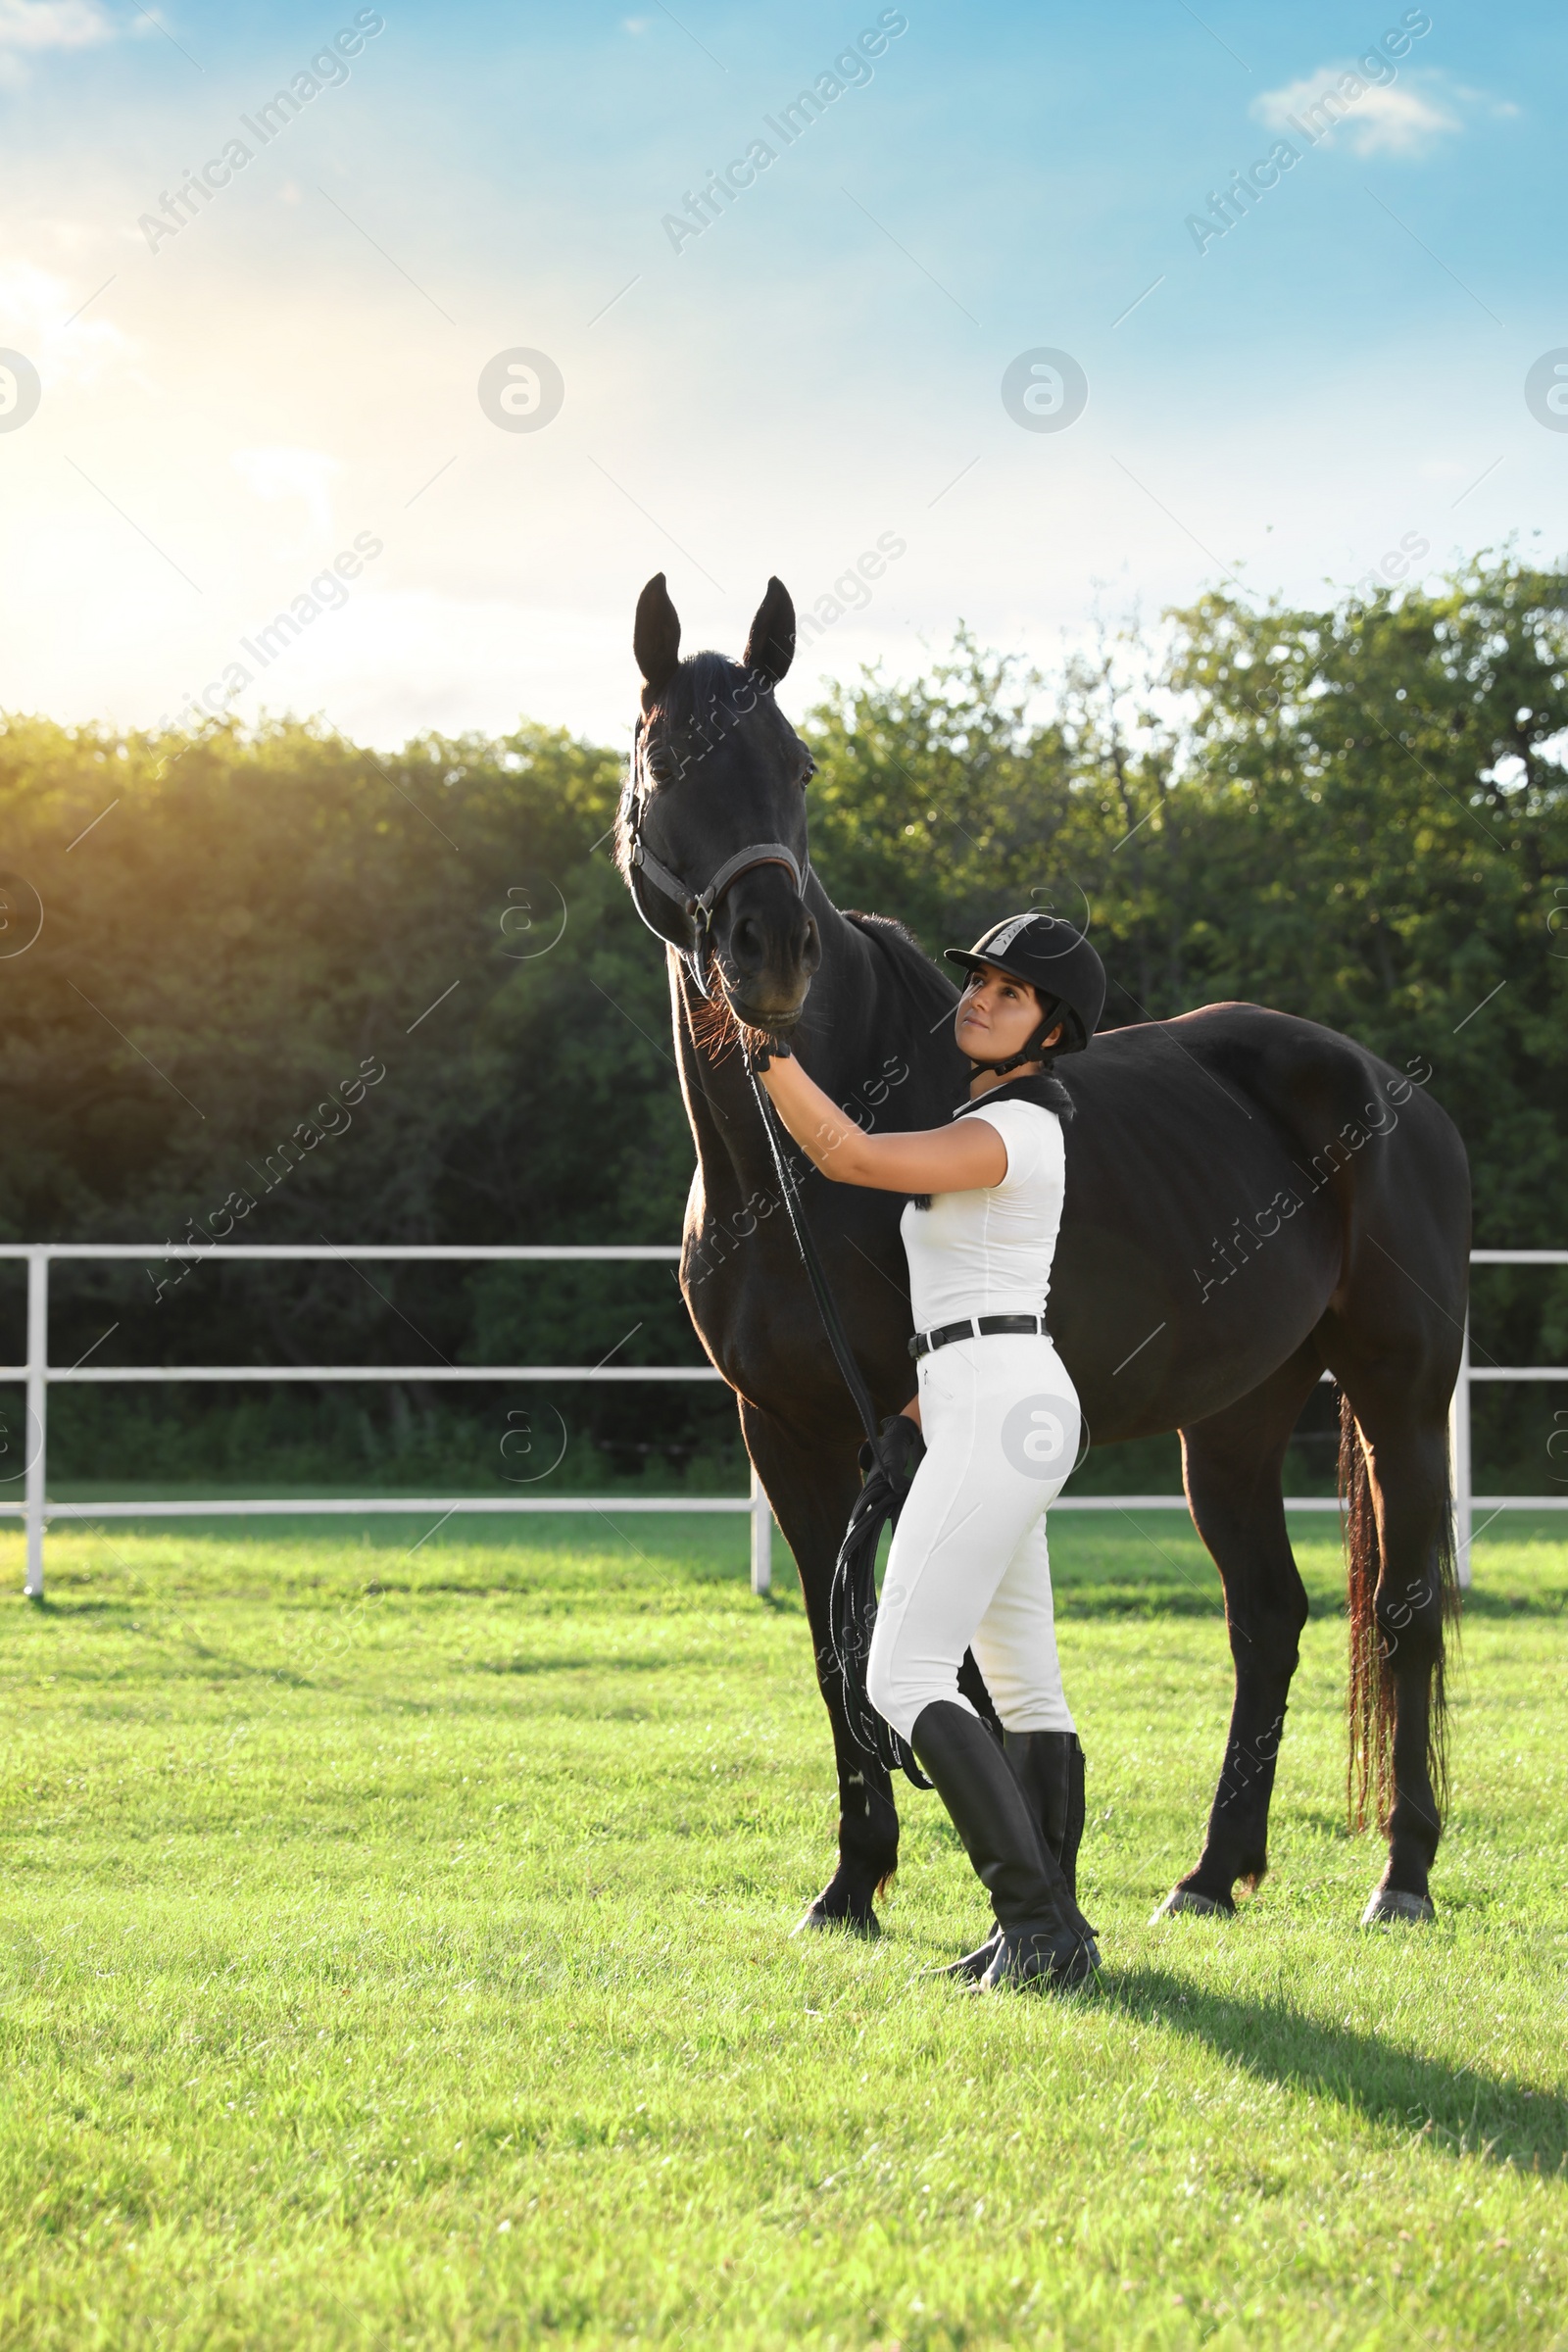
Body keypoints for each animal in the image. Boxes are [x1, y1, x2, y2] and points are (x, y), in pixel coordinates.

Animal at [620, 568, 1476, 1929]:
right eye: (663, 765)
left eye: (799, 765)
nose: (771, 953)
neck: (791, 1173)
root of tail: (1391, 1093)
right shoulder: (785, 1429)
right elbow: (834, 1644)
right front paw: (851, 1887)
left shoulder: (907, 1428)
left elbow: (942, 1653)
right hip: (1234, 1415)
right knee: (1267, 1615)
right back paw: (1210, 1874)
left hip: (1397, 1387)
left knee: (1401, 1610)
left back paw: (1400, 1876)